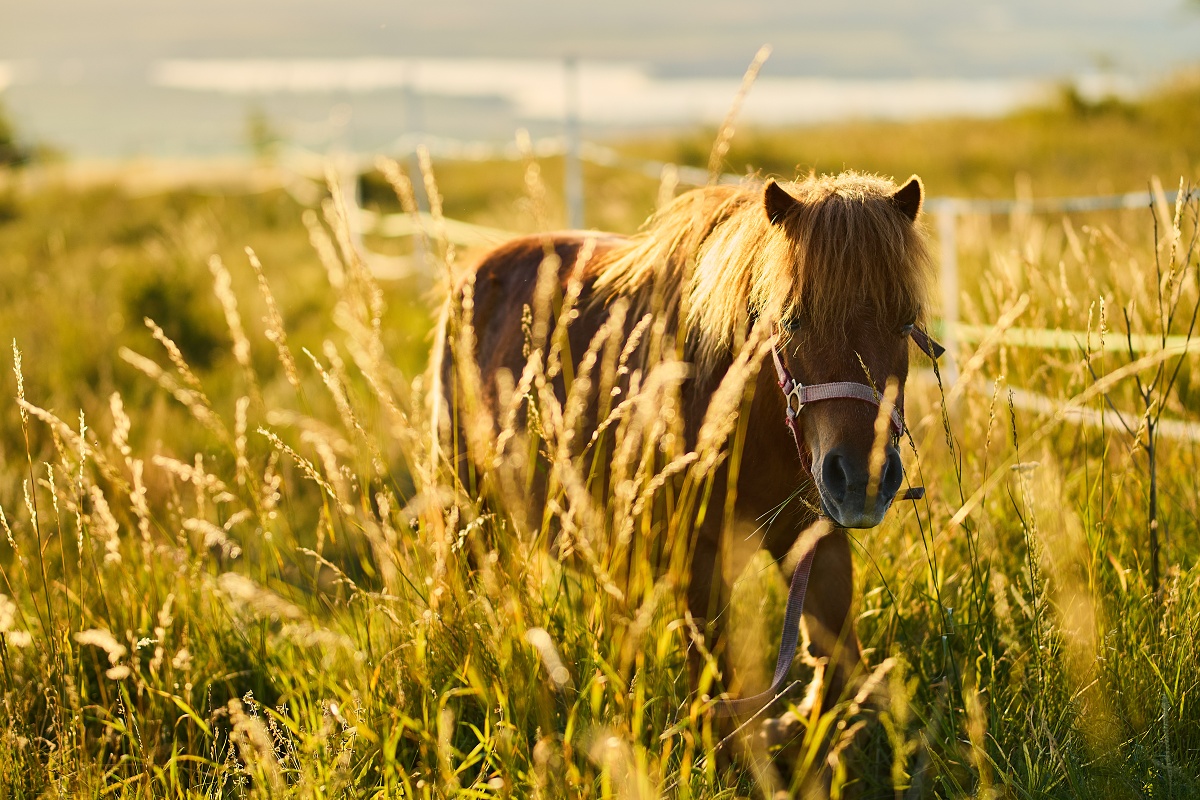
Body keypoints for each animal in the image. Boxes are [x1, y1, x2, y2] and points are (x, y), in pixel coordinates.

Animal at [444, 169, 936, 719]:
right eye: (791, 319)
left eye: (906, 320)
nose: (861, 479)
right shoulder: (699, 566)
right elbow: (719, 699)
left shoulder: (817, 541)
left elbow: (833, 672)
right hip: (469, 507)